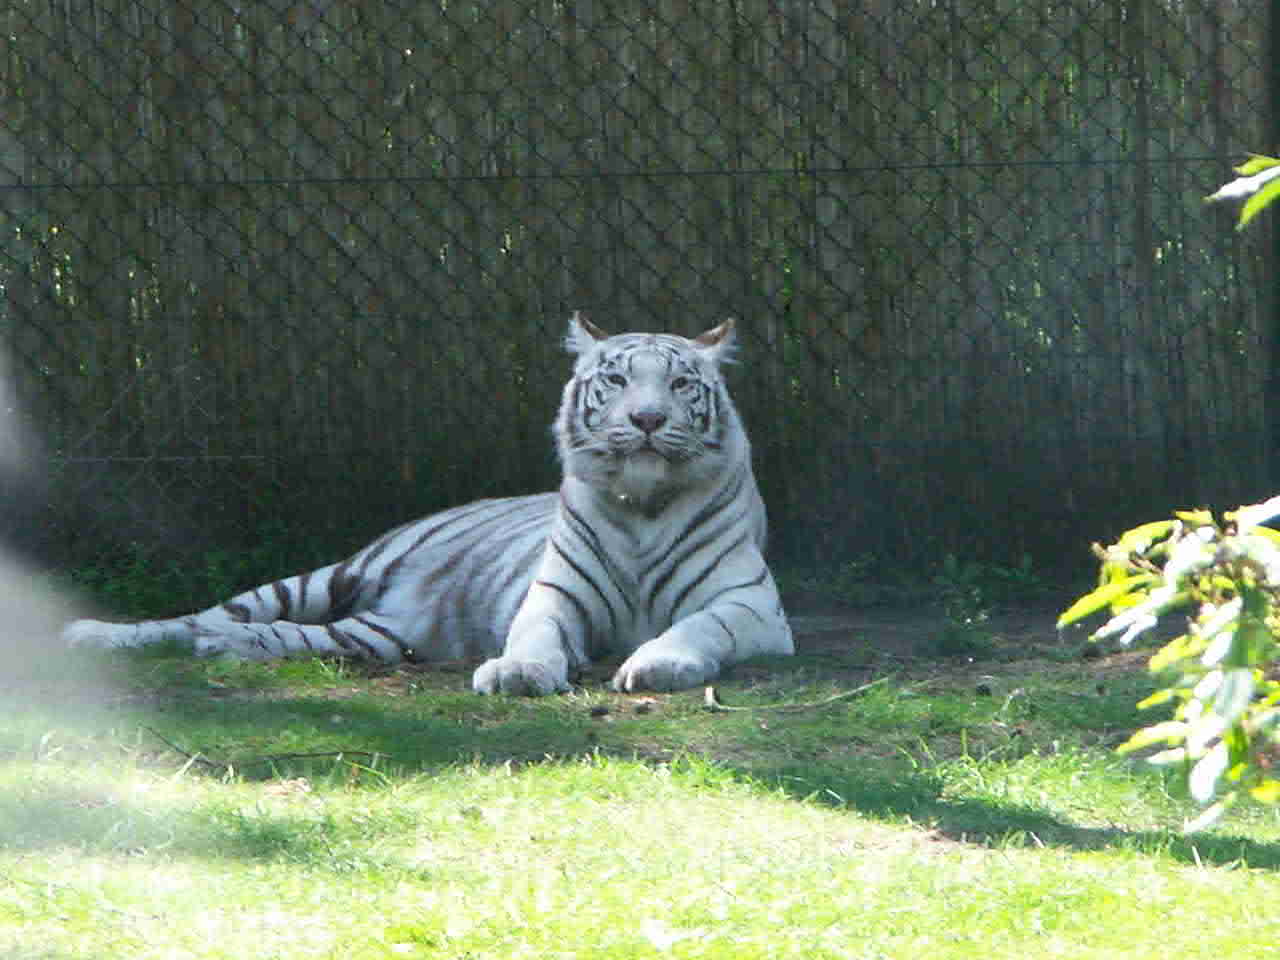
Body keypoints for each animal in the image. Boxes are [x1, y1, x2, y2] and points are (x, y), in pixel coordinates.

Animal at [62, 313, 794, 695]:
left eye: (680, 384)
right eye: (615, 380)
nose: (645, 419)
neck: (641, 505)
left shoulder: (750, 605)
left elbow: (700, 626)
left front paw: (659, 663)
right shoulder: (552, 596)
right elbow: (536, 633)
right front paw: (520, 671)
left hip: (377, 633)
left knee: (277, 635)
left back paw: (229, 649)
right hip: (326, 577)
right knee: (196, 617)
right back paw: (98, 635)